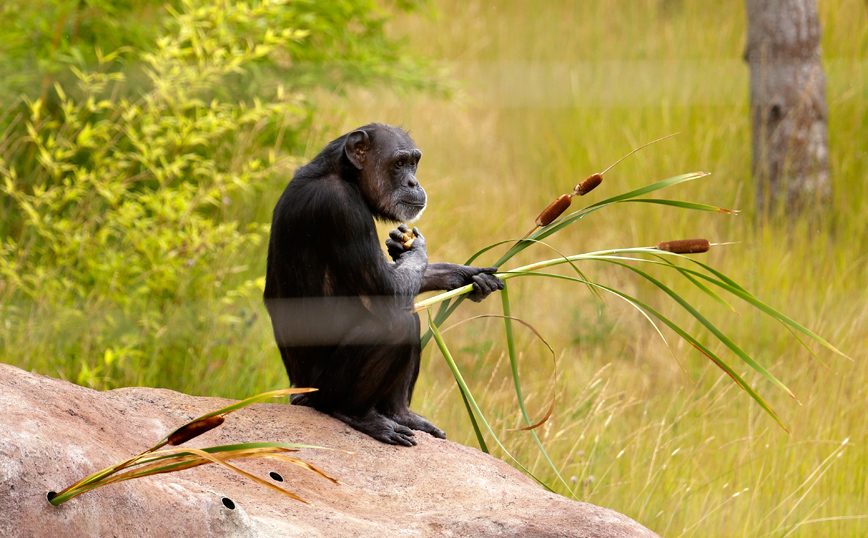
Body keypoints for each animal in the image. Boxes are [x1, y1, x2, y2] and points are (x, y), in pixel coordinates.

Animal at [262, 122, 502, 444]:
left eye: (413, 162)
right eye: (399, 164)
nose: (413, 181)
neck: (345, 175)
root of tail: (295, 393)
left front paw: (467, 275)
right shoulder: (341, 208)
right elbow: (386, 290)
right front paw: (415, 248)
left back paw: (401, 413)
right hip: (320, 392)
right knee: (397, 323)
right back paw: (358, 415)